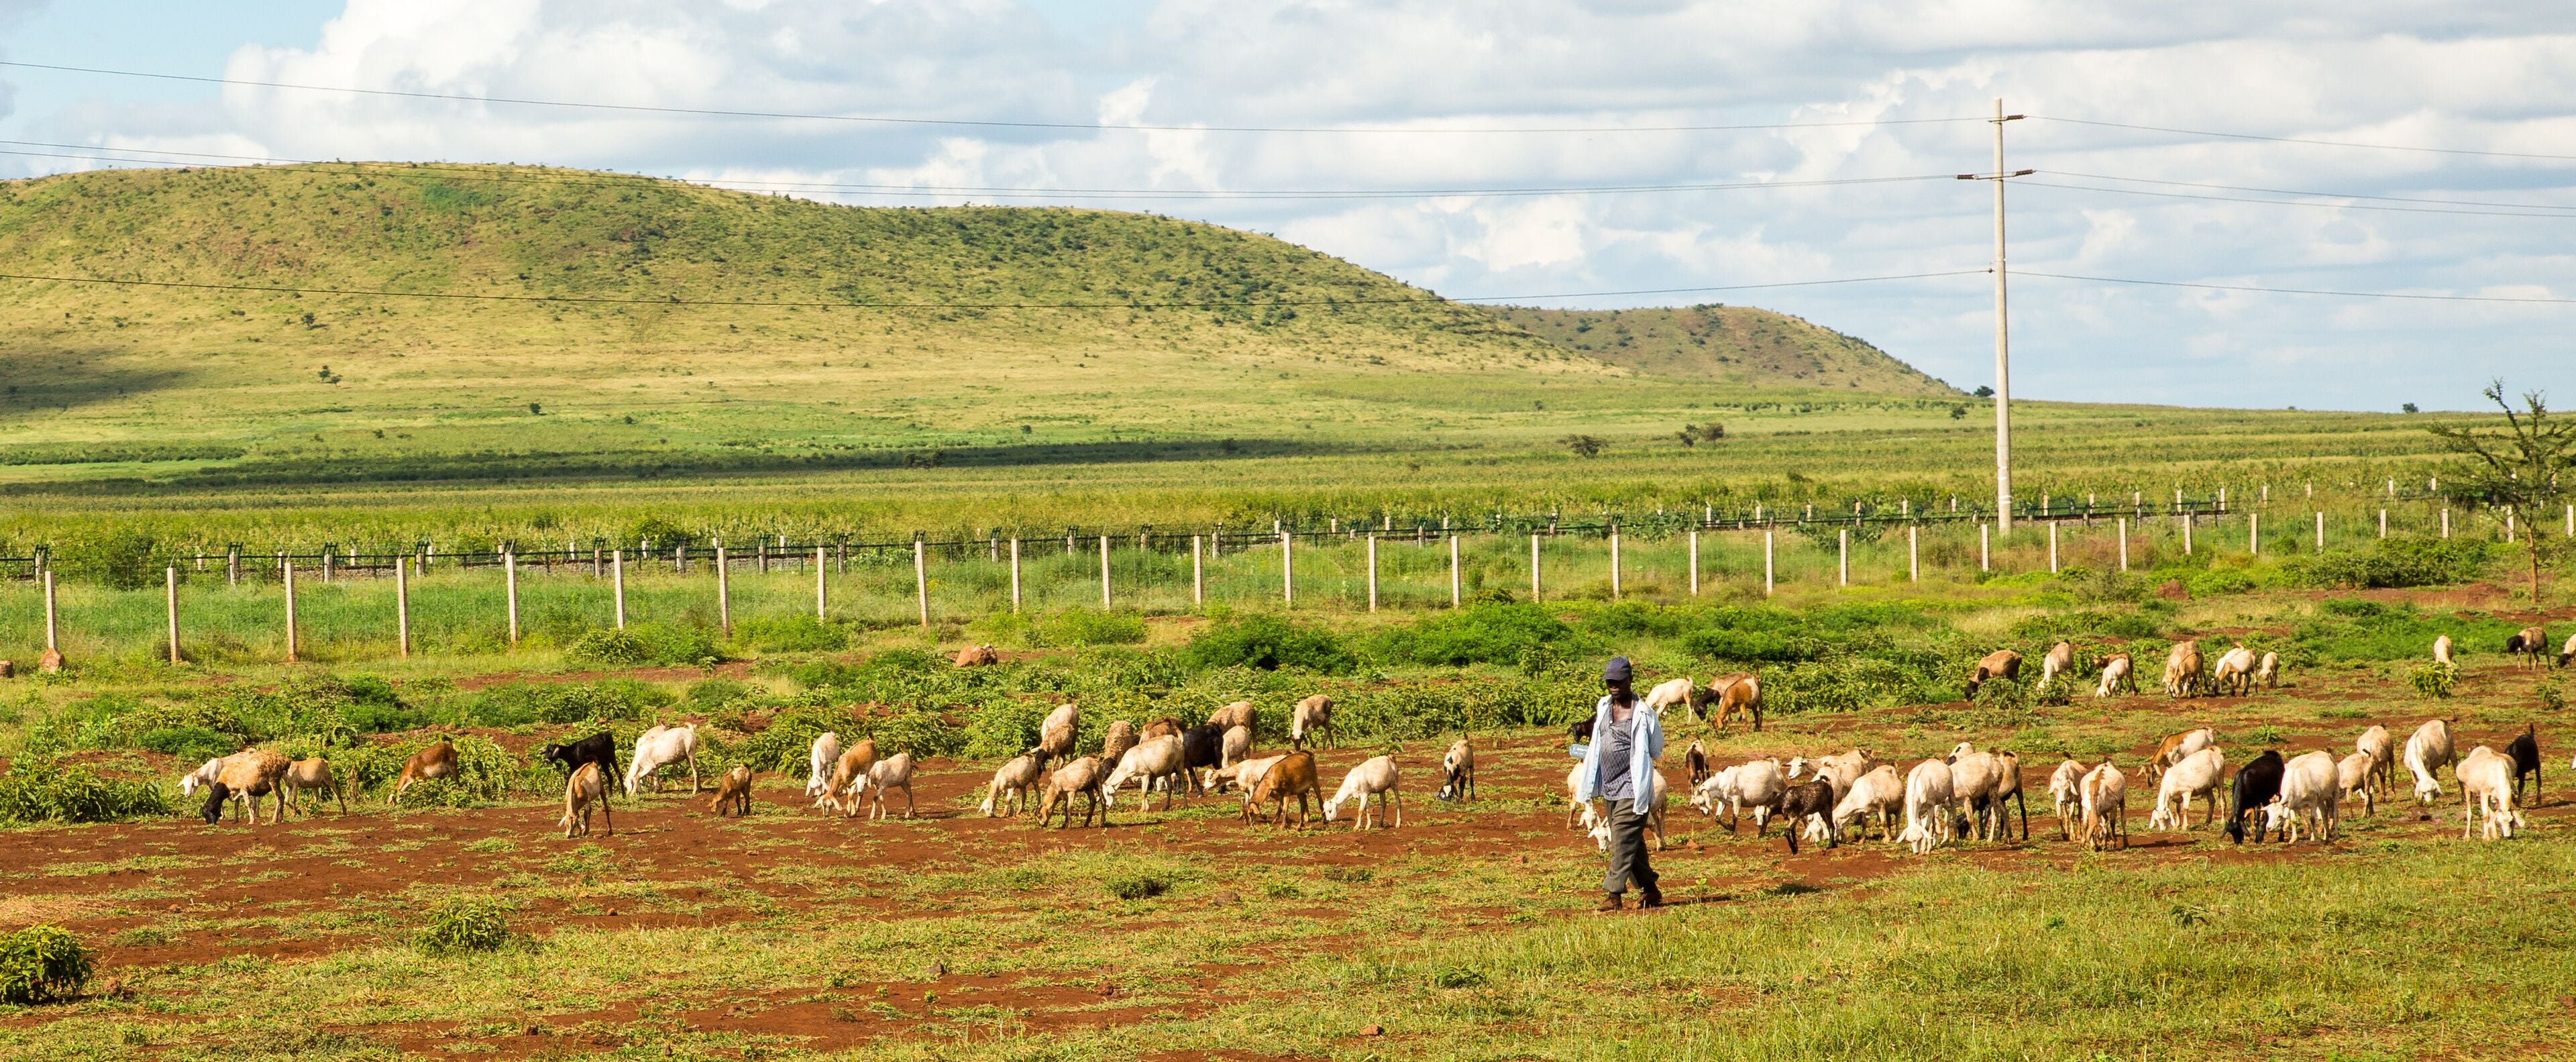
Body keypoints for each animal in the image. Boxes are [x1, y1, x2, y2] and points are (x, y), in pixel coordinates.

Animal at [2080, 762, 2129, 851]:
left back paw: (2126, 843)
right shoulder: (2085, 809)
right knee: (2105, 819)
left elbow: (2112, 824)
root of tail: (2106, 764)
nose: (2096, 848)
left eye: (2099, 836)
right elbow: (2085, 825)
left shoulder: (2113, 808)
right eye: (2093, 836)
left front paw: (2113, 843)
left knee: (2123, 820)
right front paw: (2082, 844)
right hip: (2102, 811)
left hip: (2121, 799)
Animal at [2222, 750, 2287, 844]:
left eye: (2237, 829)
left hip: (2279, 790)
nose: (2238, 842)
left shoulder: (2256, 802)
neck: (2244, 782)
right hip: (2265, 798)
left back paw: (2280, 837)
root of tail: (2274, 755)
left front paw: (2257, 839)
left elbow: (2256, 821)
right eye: (2231, 832)